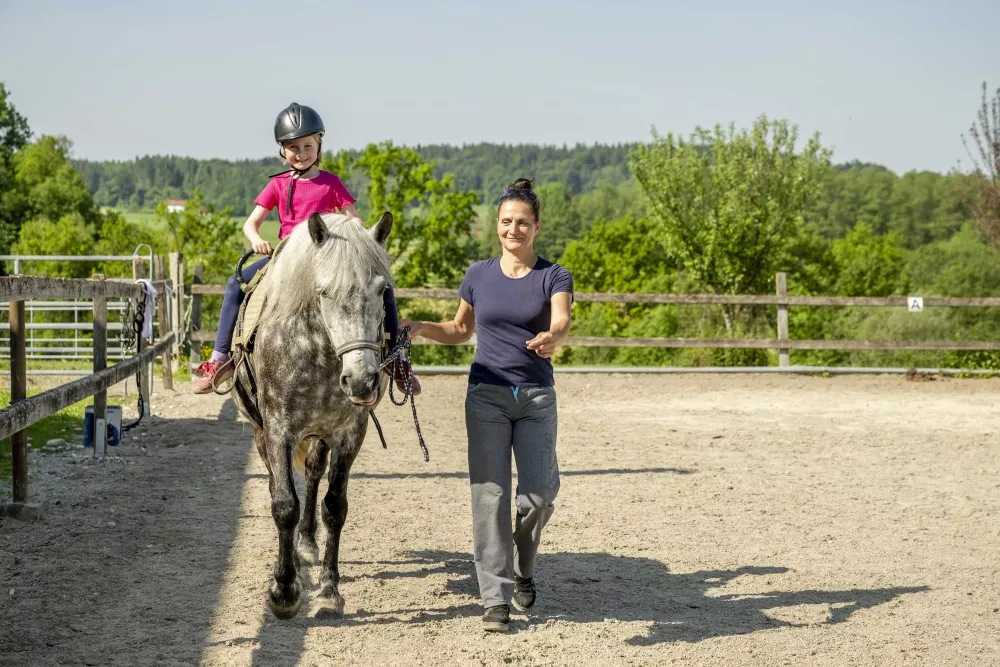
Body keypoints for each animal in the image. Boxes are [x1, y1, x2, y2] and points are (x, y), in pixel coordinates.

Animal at [231, 210, 394, 619]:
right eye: (323, 292)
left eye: (382, 290)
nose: (361, 380)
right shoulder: (278, 430)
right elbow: (284, 504)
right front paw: (285, 591)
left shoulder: (350, 432)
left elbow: (334, 507)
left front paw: (329, 591)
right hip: (261, 432)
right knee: (279, 483)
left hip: (320, 435)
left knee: (313, 473)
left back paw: (306, 543)